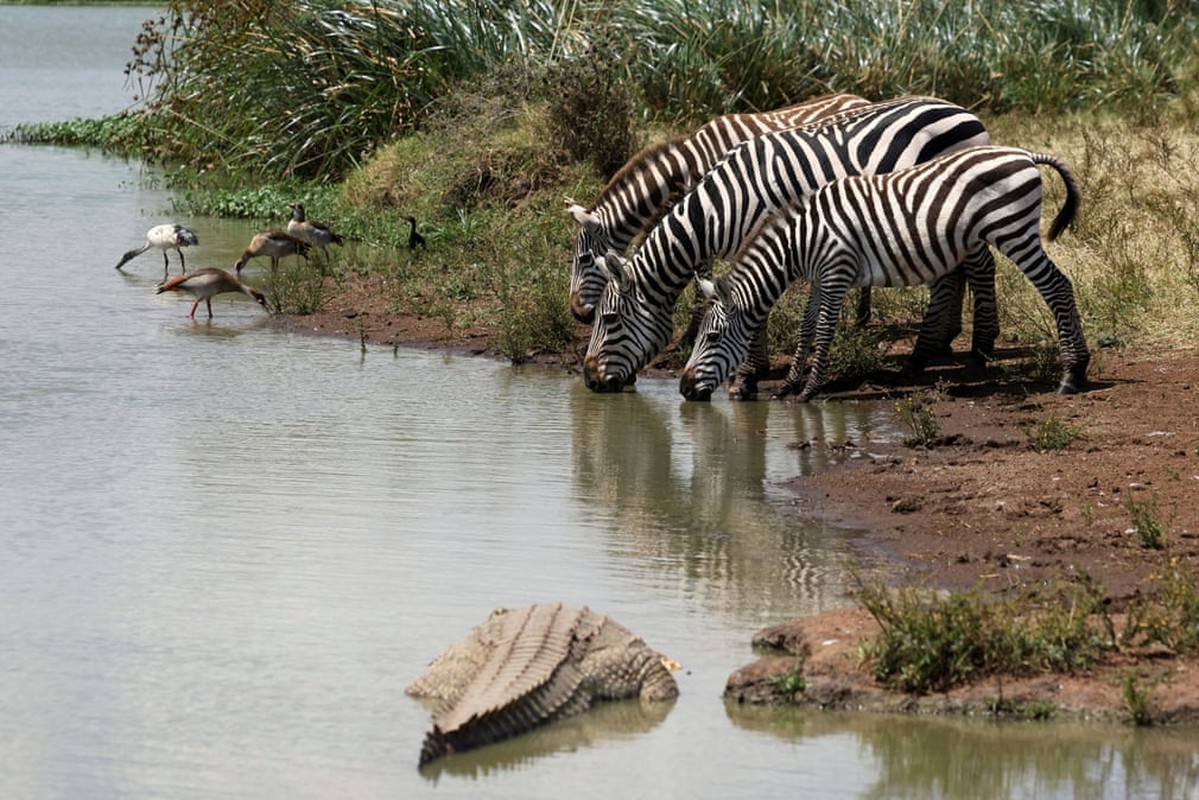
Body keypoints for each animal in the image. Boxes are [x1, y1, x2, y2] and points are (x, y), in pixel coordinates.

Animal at [565, 94, 868, 328]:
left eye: (584, 259)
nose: (577, 314)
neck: (693, 161)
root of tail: (858, 97)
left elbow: (703, 276)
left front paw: (691, 333)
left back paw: (861, 320)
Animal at [681, 144, 1093, 402]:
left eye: (713, 337)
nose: (683, 390)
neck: (801, 240)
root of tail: (1024, 154)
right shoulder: (820, 278)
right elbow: (806, 327)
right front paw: (788, 385)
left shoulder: (837, 272)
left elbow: (825, 329)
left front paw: (809, 390)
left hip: (1014, 231)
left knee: (1057, 286)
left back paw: (1072, 374)